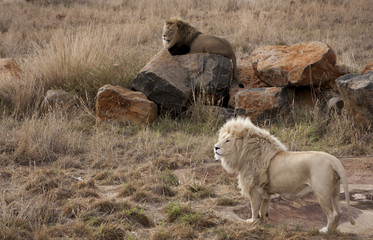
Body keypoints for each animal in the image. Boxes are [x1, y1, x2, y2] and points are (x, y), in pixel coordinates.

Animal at [214, 117, 354, 233]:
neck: (244, 154)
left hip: (322, 191)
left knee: (332, 214)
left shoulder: (255, 188)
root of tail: (333, 159)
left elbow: (254, 208)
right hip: (334, 190)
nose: (215, 147)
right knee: (339, 212)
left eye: (227, 140)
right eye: (221, 139)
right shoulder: (265, 191)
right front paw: (263, 223)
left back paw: (325, 231)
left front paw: (252, 222)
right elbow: (264, 210)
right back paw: (333, 230)